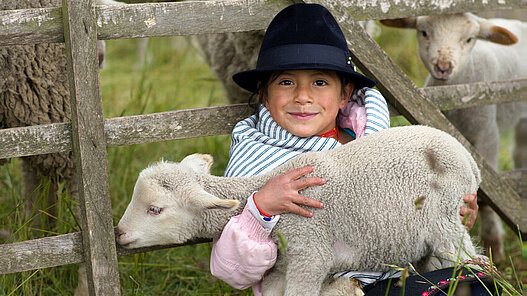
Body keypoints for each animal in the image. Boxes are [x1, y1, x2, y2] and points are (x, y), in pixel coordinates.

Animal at [117, 125, 484, 296]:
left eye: (155, 209)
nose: (118, 233)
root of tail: (468, 158)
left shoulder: (309, 250)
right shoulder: (278, 270)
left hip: (446, 220)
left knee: (476, 264)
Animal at [382, 13, 527, 264]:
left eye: (469, 39)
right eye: (424, 32)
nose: (443, 67)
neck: (453, 94)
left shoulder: (487, 135)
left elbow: (487, 199)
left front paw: (494, 246)